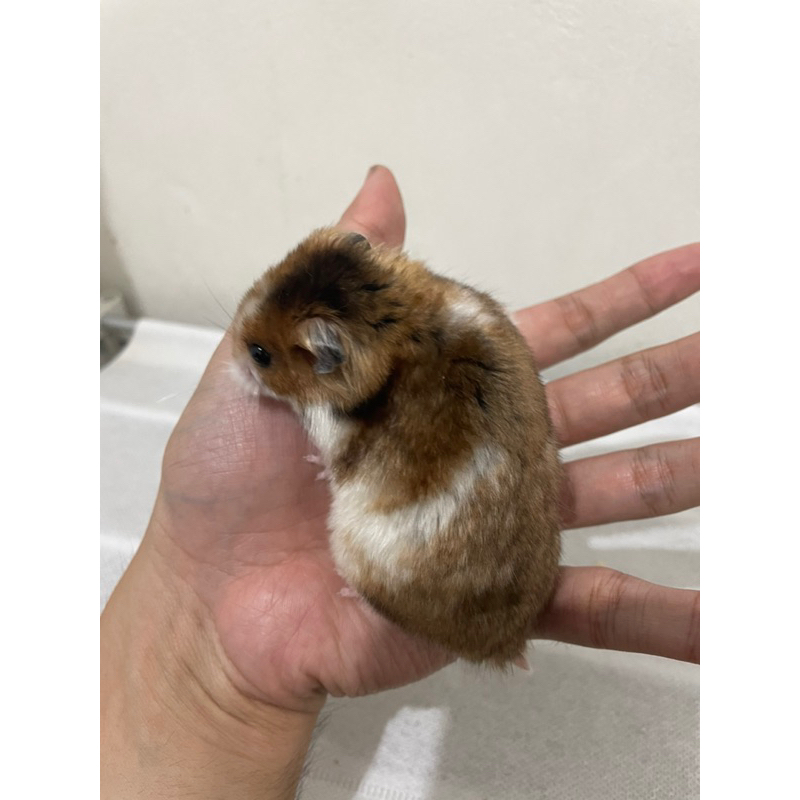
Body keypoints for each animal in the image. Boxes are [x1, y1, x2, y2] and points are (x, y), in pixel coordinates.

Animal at [230, 227, 562, 666]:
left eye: (260, 354)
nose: (229, 357)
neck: (399, 328)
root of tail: (507, 645)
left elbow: (329, 459)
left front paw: (311, 462)